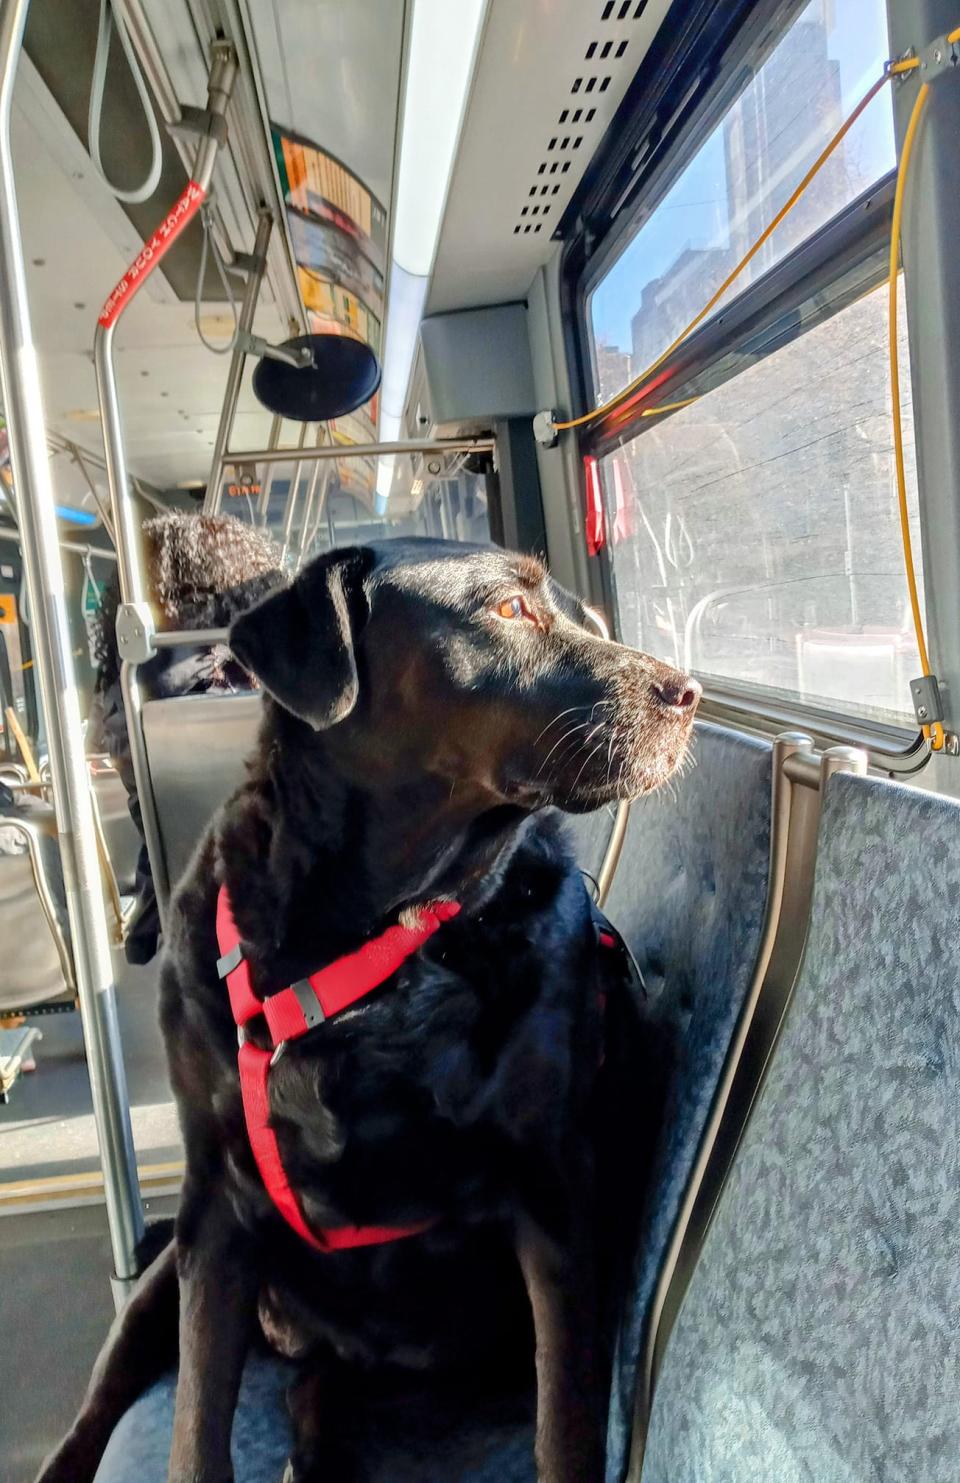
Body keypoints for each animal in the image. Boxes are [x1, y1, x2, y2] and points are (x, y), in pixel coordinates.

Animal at [39, 539, 697, 1477]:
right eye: (509, 610)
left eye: (592, 618)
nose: (690, 693)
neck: (378, 942)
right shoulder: (215, 1202)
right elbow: (197, 1418)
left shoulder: (554, 1194)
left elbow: (564, 1418)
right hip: (169, 1275)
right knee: (118, 1390)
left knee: (316, 1386)